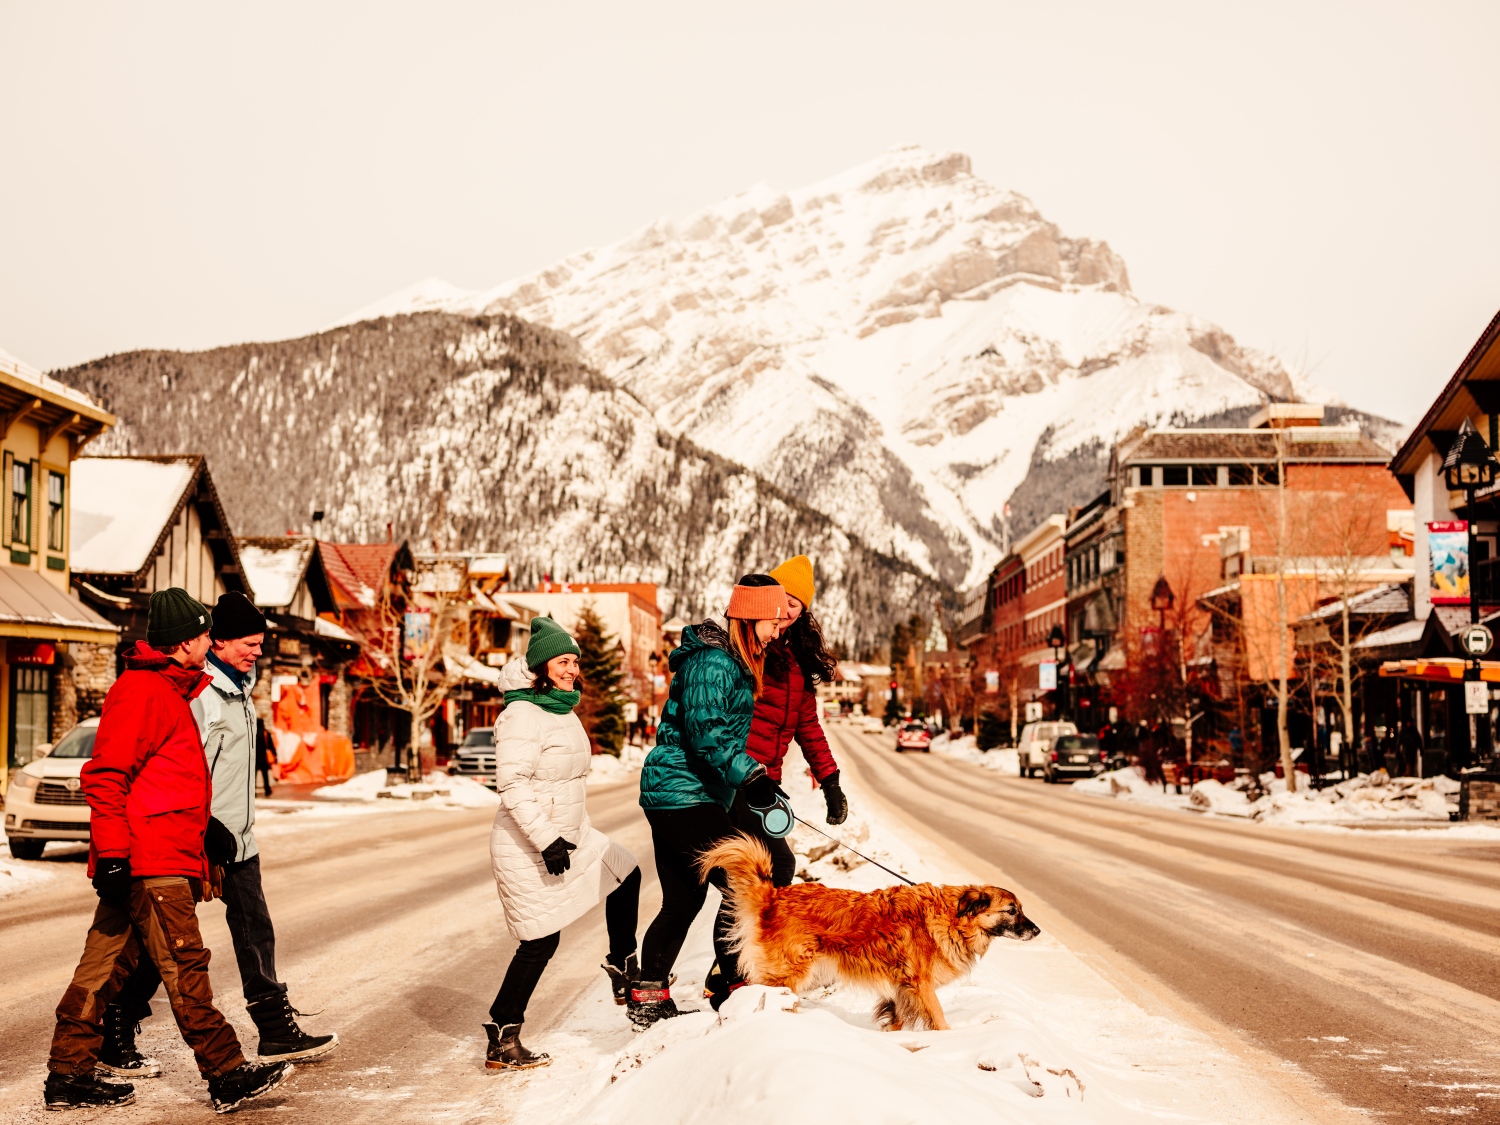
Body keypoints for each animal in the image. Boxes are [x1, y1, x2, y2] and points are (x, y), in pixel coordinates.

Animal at [696, 840, 1038, 1032]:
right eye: (1011, 911)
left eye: (1021, 909)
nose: (1036, 931)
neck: (950, 917)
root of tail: (774, 896)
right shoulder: (921, 984)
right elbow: (939, 1017)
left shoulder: (902, 987)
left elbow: (897, 1019)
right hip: (788, 973)